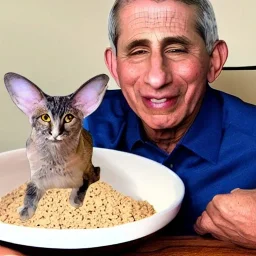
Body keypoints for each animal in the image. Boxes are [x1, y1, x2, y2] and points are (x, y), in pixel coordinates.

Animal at [3, 72, 109, 220]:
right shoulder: (36, 179)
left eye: (69, 118)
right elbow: (30, 193)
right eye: (45, 118)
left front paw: (75, 200)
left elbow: (80, 188)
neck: (55, 159)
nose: (55, 133)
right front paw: (25, 211)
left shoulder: (86, 175)